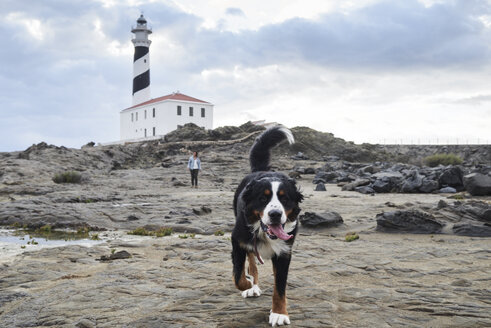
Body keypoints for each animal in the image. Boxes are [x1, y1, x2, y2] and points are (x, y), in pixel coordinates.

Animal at [232, 125, 304, 326]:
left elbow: (280, 287)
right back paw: (253, 285)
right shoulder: (237, 242)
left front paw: (279, 313)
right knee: (251, 262)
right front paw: (248, 285)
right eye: (263, 198)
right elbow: (238, 276)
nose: (275, 214)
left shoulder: (284, 253)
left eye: (284, 198)